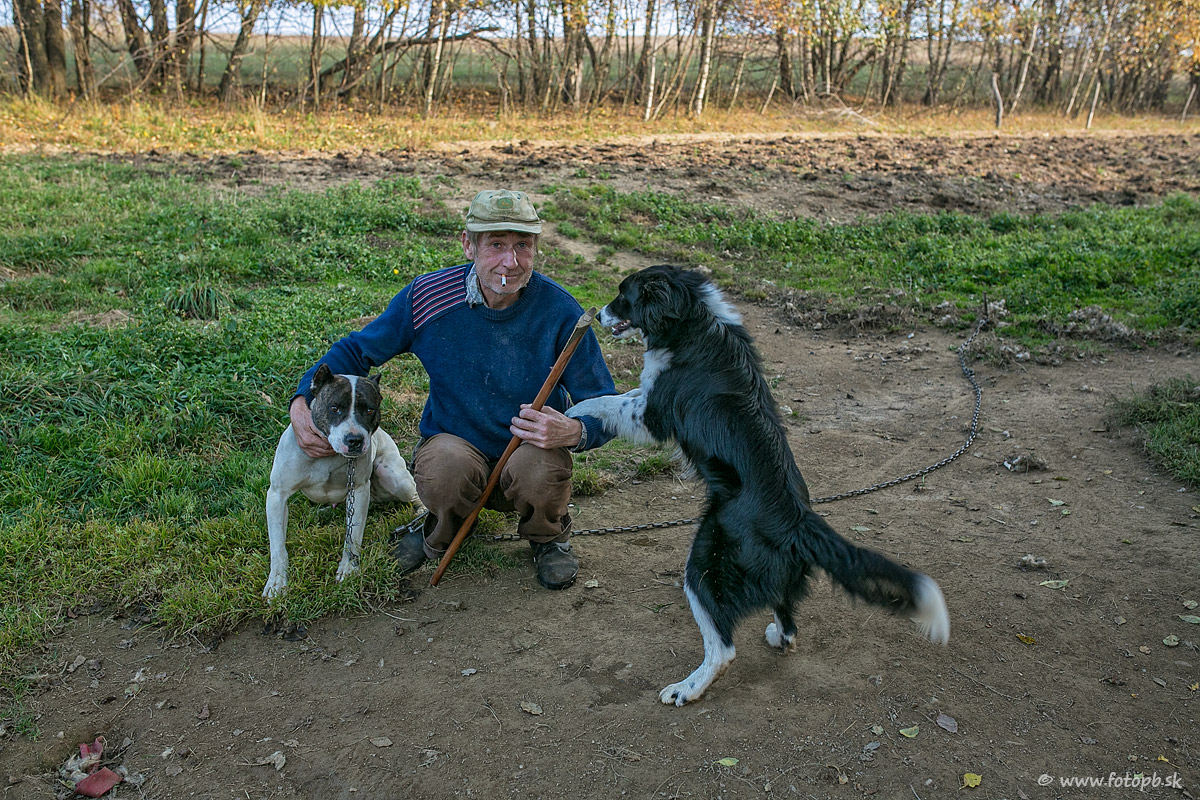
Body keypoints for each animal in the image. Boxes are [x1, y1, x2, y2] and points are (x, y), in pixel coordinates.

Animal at [264, 364, 419, 598]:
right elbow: (278, 546)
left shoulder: (359, 491)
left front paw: (348, 569)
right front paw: (277, 583)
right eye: (335, 408)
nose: (354, 440)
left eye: (369, 410)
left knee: (417, 494)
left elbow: (353, 536)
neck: (328, 455)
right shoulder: (277, 495)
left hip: (393, 476)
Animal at [566, 265, 949, 705]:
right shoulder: (647, 399)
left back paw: (685, 689)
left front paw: (570, 410)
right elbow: (623, 392)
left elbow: (610, 400)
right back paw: (777, 638)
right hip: (771, 576)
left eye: (622, 295)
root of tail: (798, 521)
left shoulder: (651, 413)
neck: (693, 317)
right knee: (788, 622)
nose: (597, 315)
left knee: (723, 648)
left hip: (705, 563)